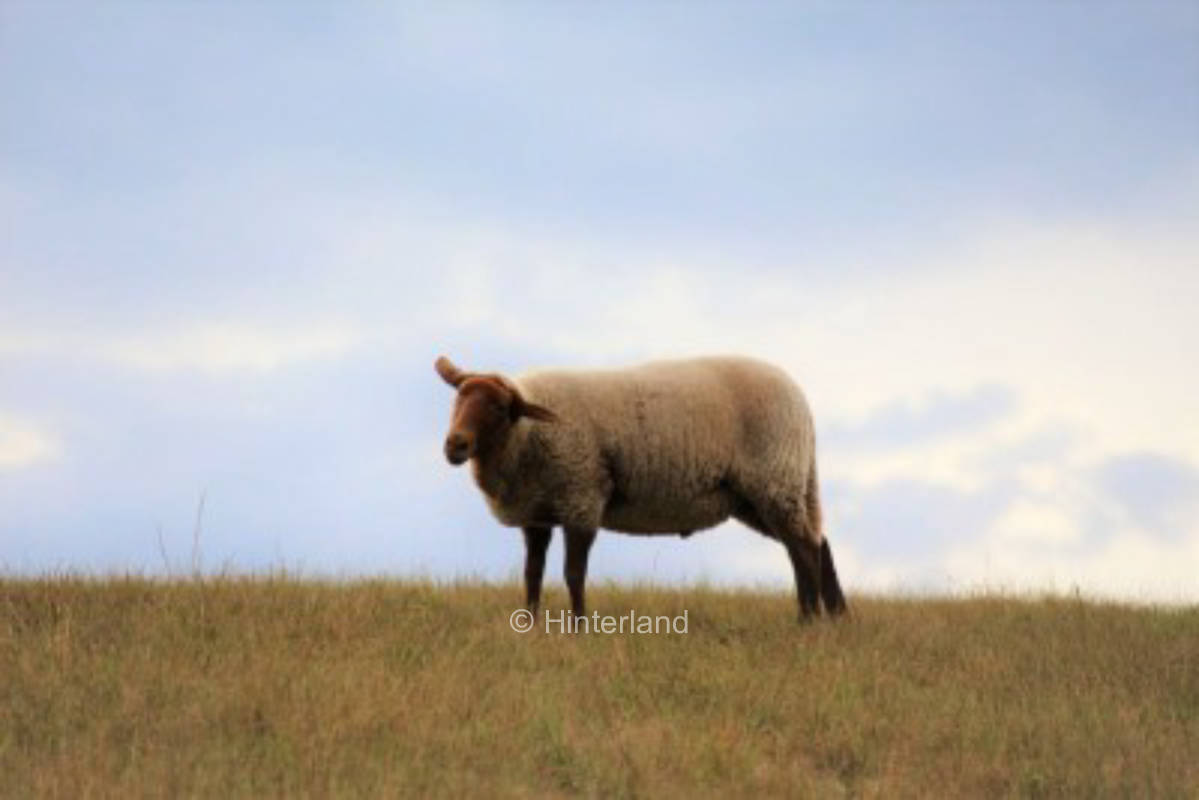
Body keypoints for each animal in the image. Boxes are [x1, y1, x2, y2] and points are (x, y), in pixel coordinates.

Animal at [434, 354, 847, 622]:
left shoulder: (581, 498)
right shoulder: (537, 515)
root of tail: (800, 401)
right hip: (757, 497)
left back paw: (809, 620)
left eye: (498, 407)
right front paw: (531, 625)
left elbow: (573, 573)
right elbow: (532, 573)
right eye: (459, 397)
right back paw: (834, 615)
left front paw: (579, 628)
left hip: (775, 480)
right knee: (815, 543)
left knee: (803, 549)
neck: (527, 436)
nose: (455, 445)